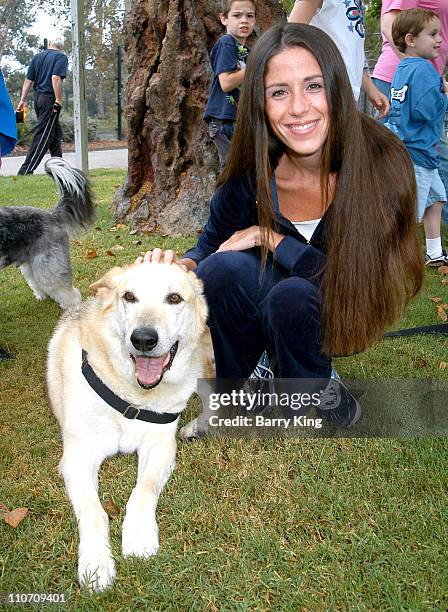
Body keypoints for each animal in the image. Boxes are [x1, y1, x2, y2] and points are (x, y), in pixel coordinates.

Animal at [48, 262, 209, 588]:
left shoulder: (160, 447)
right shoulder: (77, 459)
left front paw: (138, 537)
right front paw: (96, 563)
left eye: (174, 298)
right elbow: (94, 512)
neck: (131, 395)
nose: (143, 339)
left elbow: (142, 491)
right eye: (129, 297)